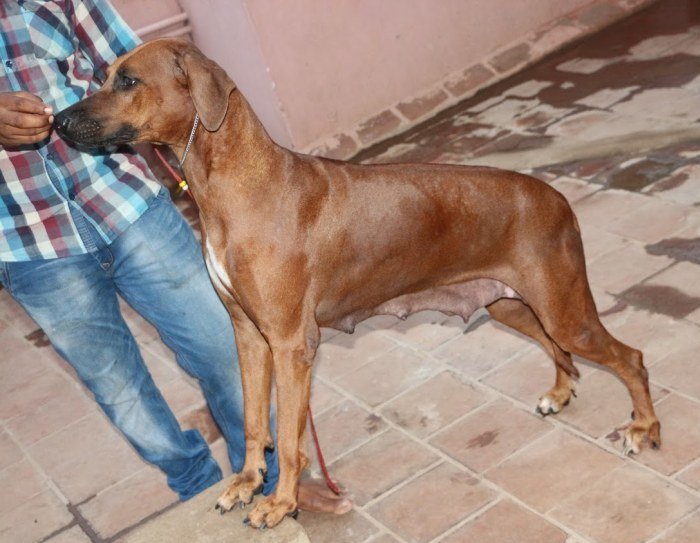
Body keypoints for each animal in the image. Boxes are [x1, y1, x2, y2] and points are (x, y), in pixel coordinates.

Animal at [56, 39, 660, 532]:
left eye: (127, 81)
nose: (58, 122)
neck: (238, 184)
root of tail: (555, 196)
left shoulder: (291, 344)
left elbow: (291, 439)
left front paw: (281, 502)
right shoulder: (249, 337)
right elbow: (252, 421)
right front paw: (248, 483)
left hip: (563, 308)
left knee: (628, 357)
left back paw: (644, 428)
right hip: (512, 305)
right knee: (562, 352)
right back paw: (560, 392)